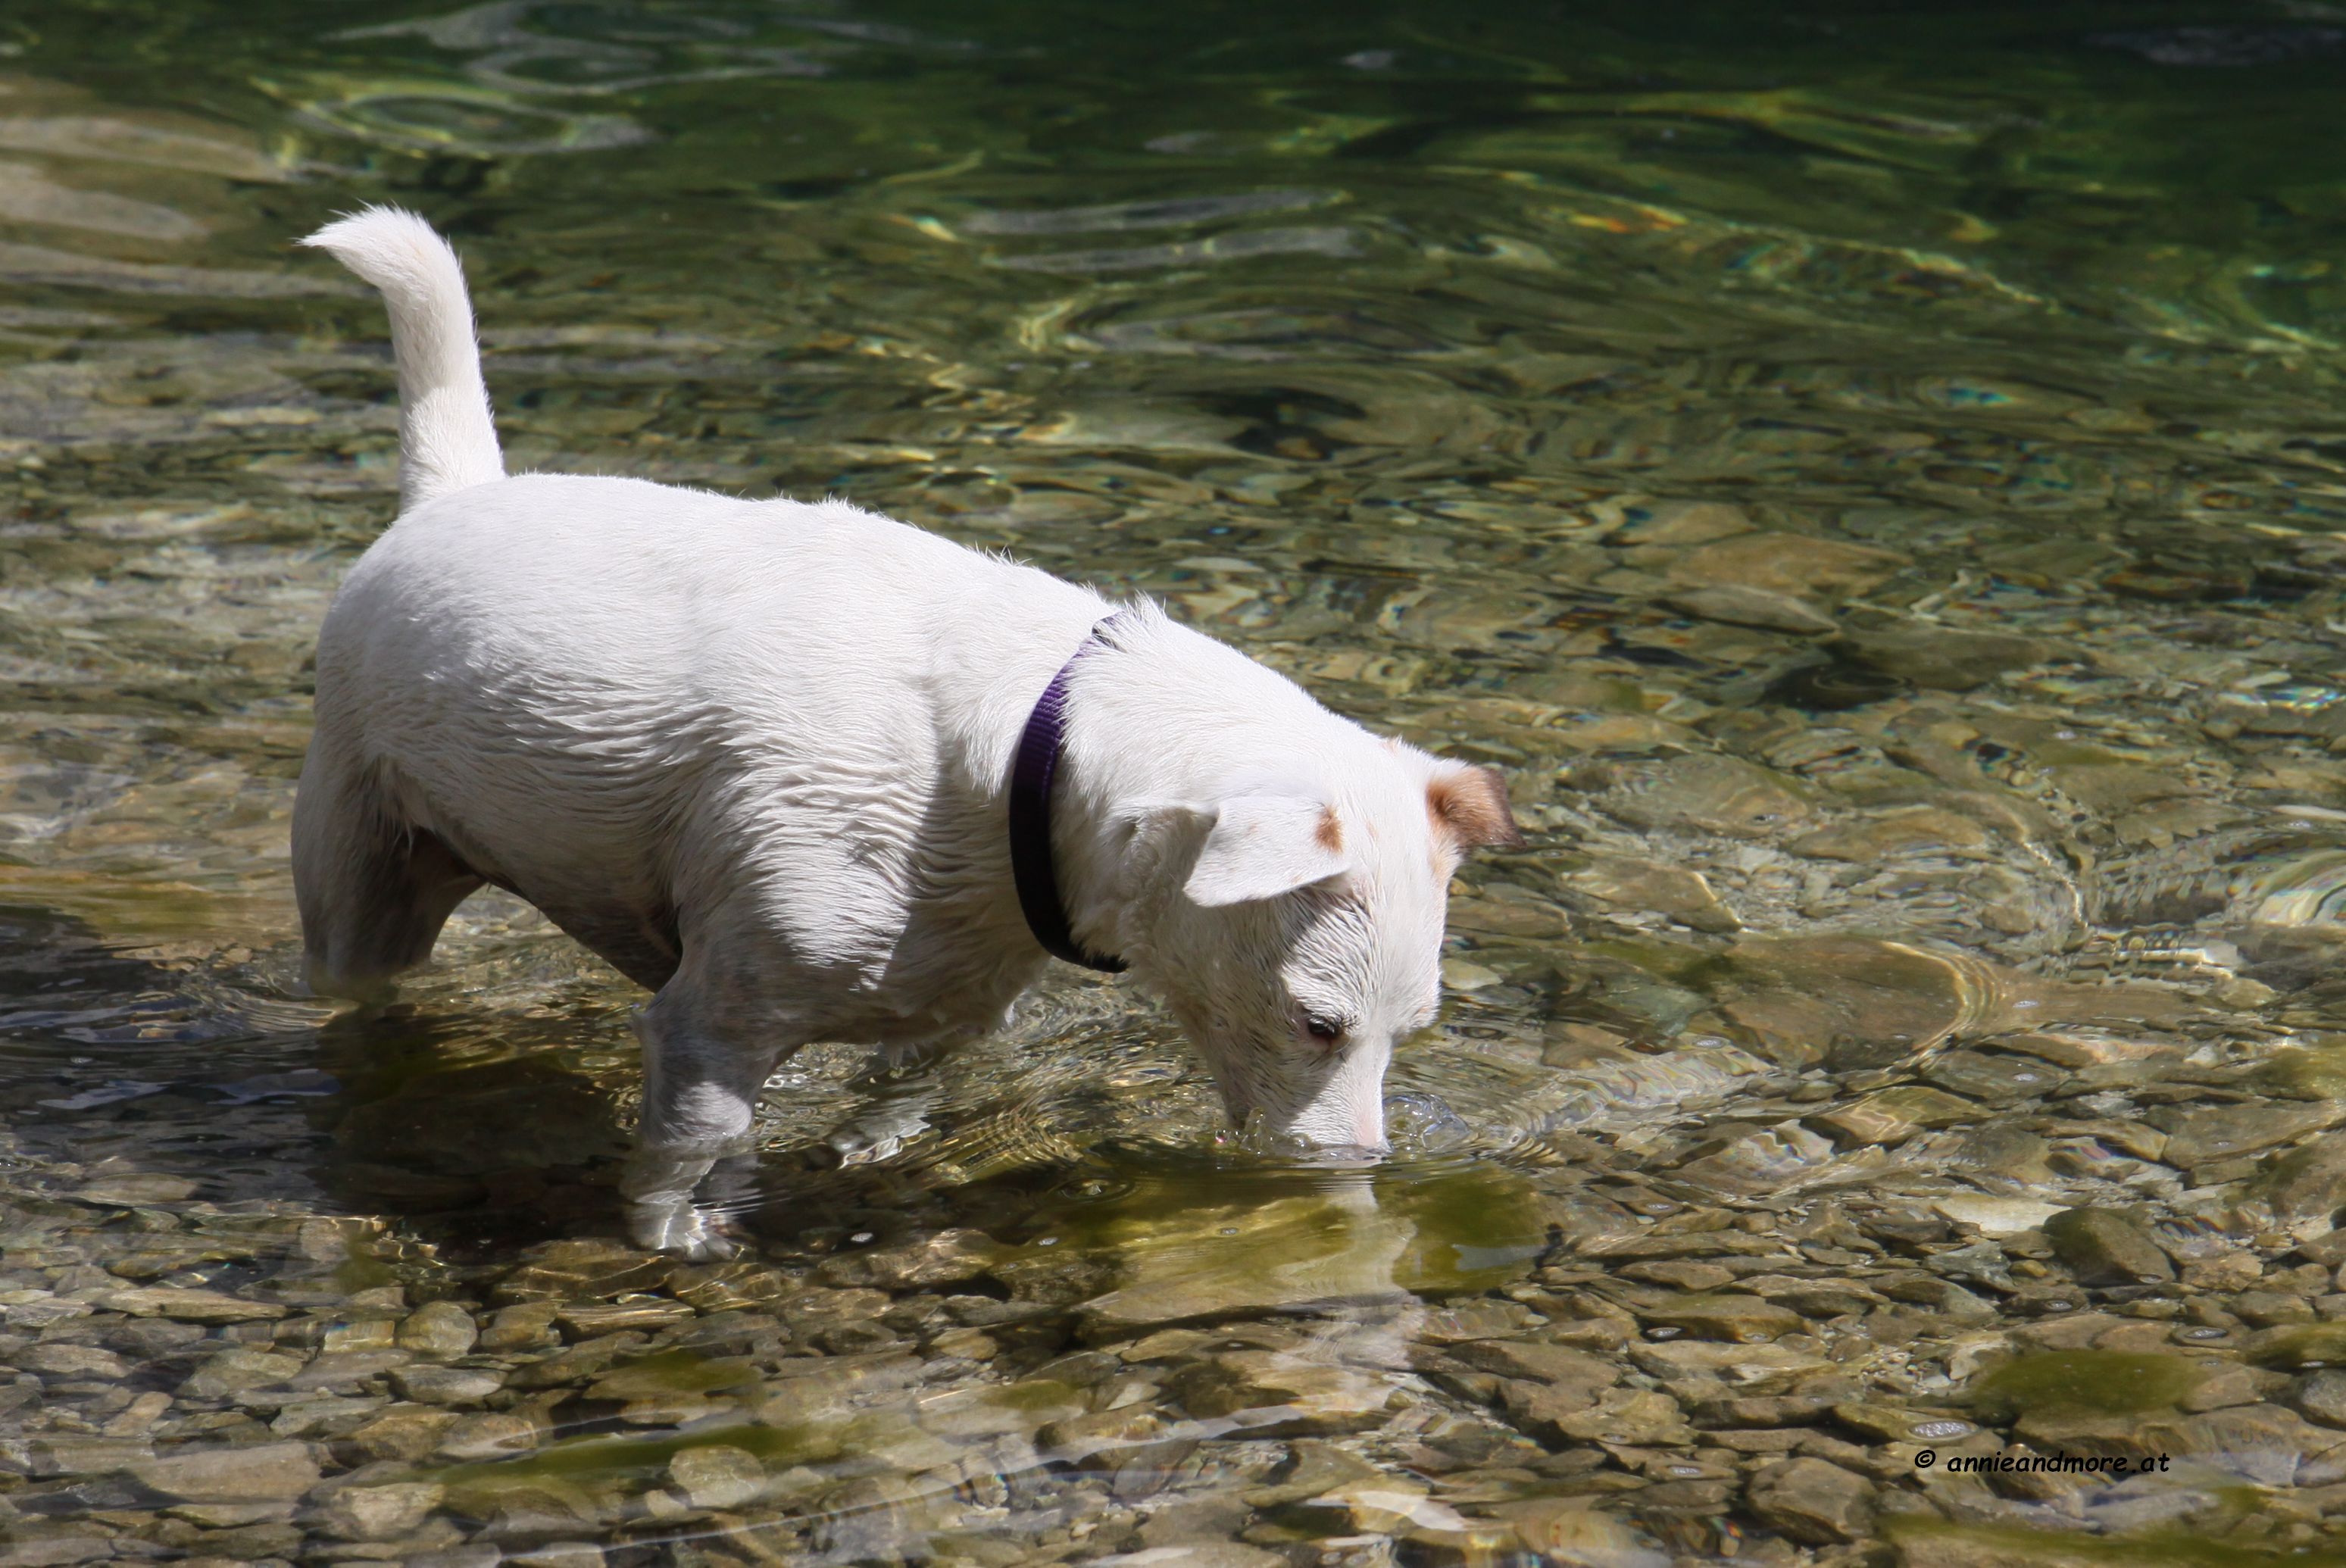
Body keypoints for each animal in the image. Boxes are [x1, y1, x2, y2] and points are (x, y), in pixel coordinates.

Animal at [293, 207, 1522, 1254]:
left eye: (1415, 1027)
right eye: (1318, 1024)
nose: (1355, 1175)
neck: (1025, 762)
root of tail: (452, 494)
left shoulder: (944, 1000)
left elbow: (897, 1089)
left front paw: (859, 1148)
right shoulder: (708, 1022)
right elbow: (688, 1146)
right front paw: (677, 1233)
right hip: (361, 864)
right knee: (354, 978)